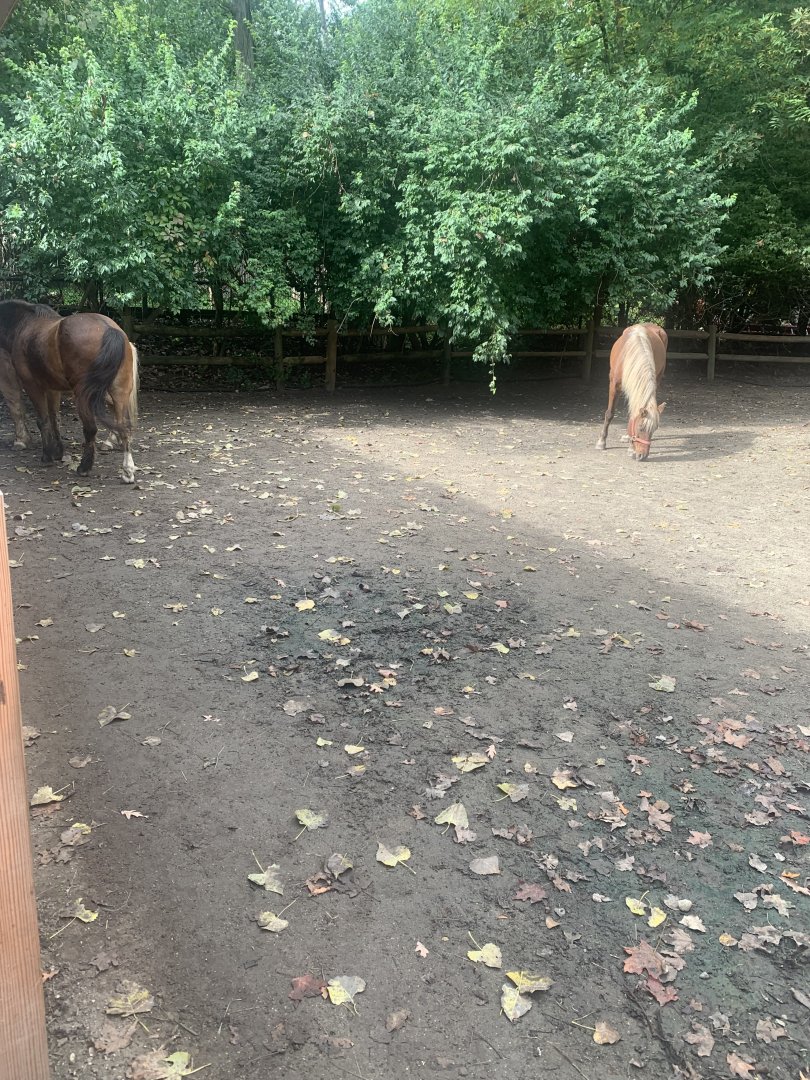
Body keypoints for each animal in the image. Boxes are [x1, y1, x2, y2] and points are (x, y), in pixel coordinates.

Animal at [0, 300, 139, 483]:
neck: (24, 325)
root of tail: (108, 329)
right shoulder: (52, 388)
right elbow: (54, 419)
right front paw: (58, 451)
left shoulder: (33, 385)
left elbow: (43, 420)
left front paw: (47, 456)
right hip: (119, 392)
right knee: (124, 427)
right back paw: (127, 470)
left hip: (83, 396)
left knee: (91, 429)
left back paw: (84, 467)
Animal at [596, 322, 667, 461]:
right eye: (641, 427)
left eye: (654, 429)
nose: (642, 456)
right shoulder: (614, 385)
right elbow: (609, 413)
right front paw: (601, 442)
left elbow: (632, 416)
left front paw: (631, 448)